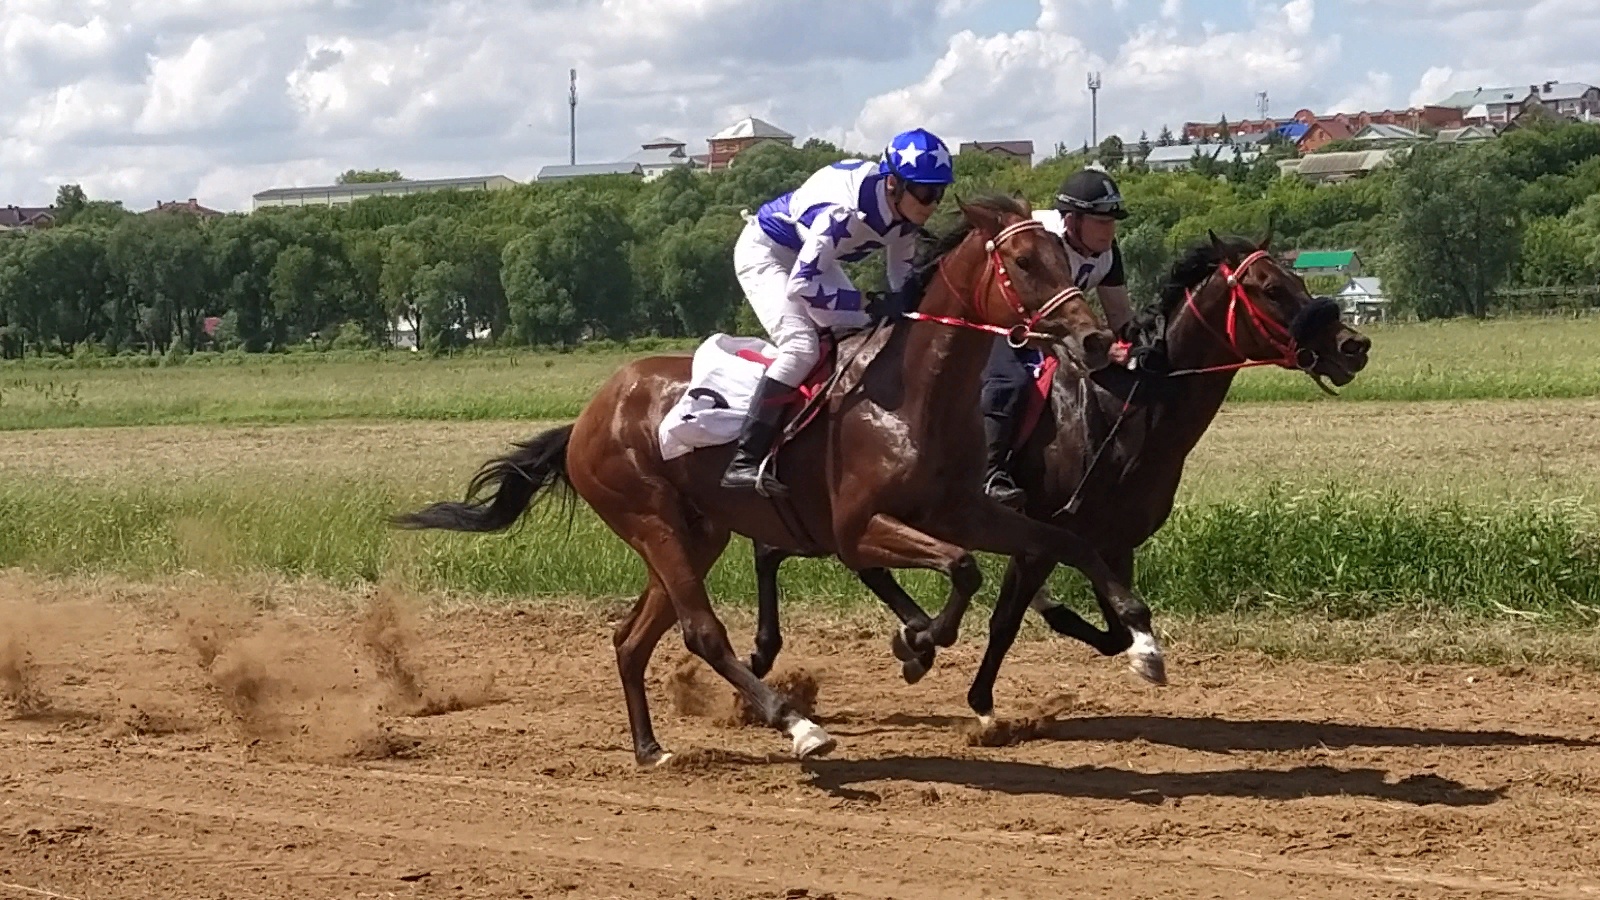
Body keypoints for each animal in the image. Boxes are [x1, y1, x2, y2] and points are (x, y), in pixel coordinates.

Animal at [392, 194, 1120, 762]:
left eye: (1067, 258)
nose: (1092, 341)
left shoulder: (963, 509)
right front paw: (914, 644)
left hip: (696, 534)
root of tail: (588, 417)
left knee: (631, 639)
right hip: (648, 518)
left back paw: (650, 748)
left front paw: (1132, 636)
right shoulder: (856, 529)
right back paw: (796, 725)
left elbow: (1054, 543)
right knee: (700, 632)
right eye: (1024, 262)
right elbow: (961, 569)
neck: (911, 394)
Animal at [742, 229, 1369, 720]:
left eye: (1297, 277)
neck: (1127, 410)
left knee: (813, 553)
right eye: (1271, 288)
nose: (1353, 345)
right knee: (783, 550)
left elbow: (1115, 628)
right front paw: (981, 701)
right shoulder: (1037, 536)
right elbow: (1007, 621)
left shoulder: (1114, 542)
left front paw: (1126, 645)